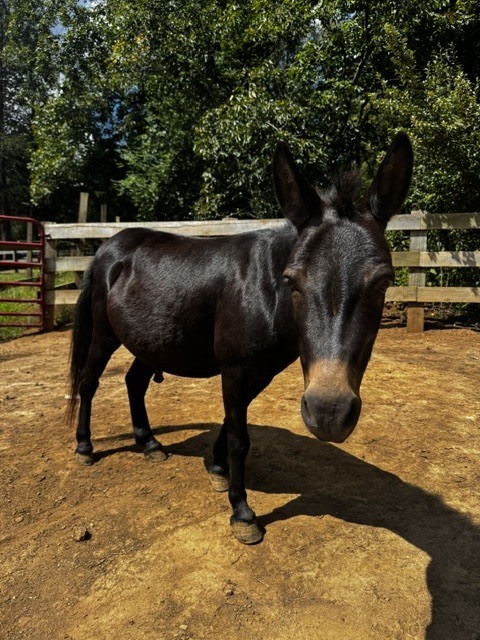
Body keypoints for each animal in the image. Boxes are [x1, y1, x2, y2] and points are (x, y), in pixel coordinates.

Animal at [68, 133, 413, 544]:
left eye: (383, 282)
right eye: (292, 281)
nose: (329, 412)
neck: (266, 291)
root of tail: (108, 246)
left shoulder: (259, 372)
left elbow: (231, 420)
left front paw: (216, 469)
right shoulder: (234, 369)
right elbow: (239, 437)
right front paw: (242, 511)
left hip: (152, 342)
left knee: (134, 382)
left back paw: (149, 442)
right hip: (104, 335)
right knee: (88, 382)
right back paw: (85, 446)